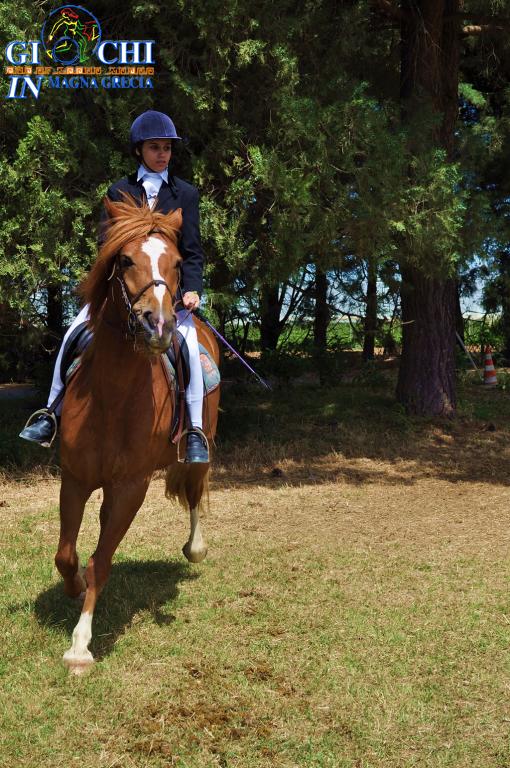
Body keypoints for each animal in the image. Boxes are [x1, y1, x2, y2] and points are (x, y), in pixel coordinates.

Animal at [55, 196, 219, 672]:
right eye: (125, 259)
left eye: (179, 262)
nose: (157, 326)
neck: (112, 397)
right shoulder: (75, 478)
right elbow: (67, 554)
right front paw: (74, 588)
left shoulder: (131, 486)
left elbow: (102, 561)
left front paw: (80, 645)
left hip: (199, 449)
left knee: (195, 493)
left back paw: (195, 547)